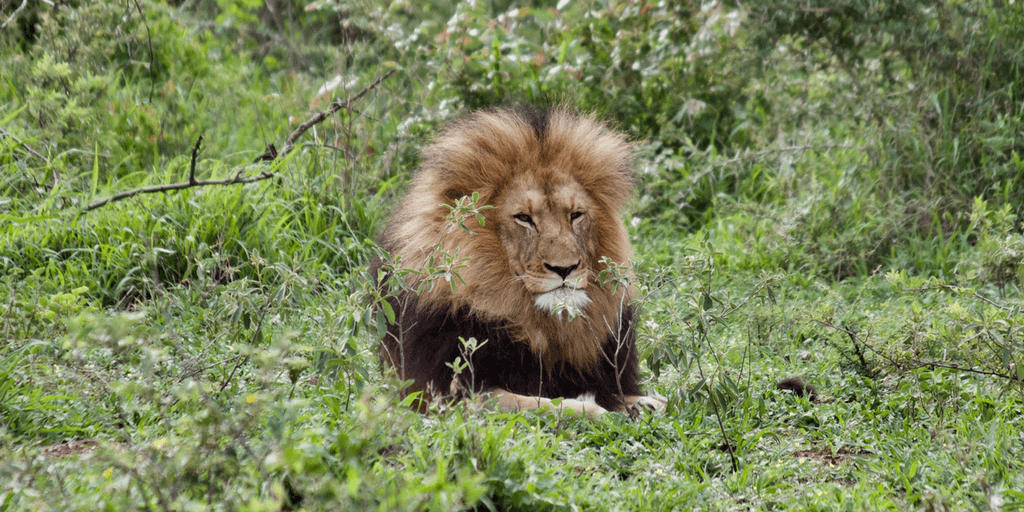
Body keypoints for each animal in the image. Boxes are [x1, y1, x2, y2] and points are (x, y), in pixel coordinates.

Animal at [374, 107, 663, 415]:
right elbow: (540, 404)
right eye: (524, 218)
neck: (542, 325)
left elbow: (641, 398)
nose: (565, 269)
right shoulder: (452, 395)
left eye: (575, 215)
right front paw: (595, 410)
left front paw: (642, 403)